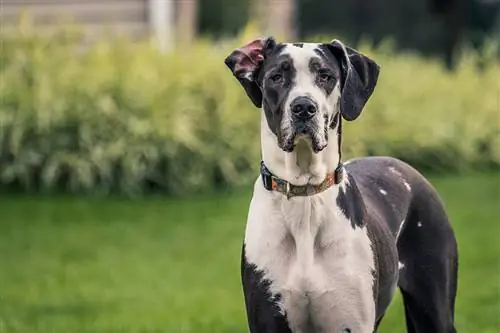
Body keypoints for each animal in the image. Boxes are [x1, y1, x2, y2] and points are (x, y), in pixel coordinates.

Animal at [225, 37, 458, 332]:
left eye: (326, 76)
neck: (305, 196)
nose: (303, 107)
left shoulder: (351, 321)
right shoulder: (268, 320)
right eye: (276, 77)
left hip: (434, 308)